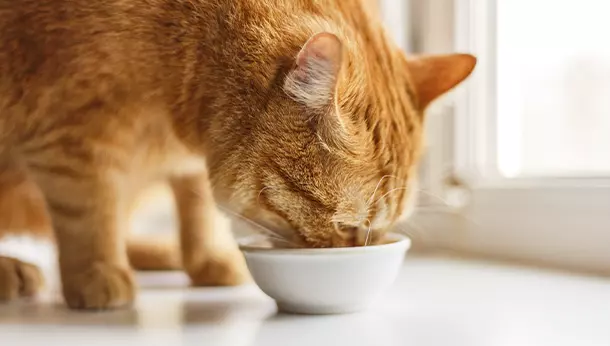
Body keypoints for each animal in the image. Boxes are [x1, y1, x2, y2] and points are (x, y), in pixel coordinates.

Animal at [0, 0, 476, 310]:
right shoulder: (73, 134)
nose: (362, 248)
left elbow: (196, 206)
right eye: (346, 226)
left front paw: (206, 258)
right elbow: (90, 213)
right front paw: (97, 273)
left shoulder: (188, 161)